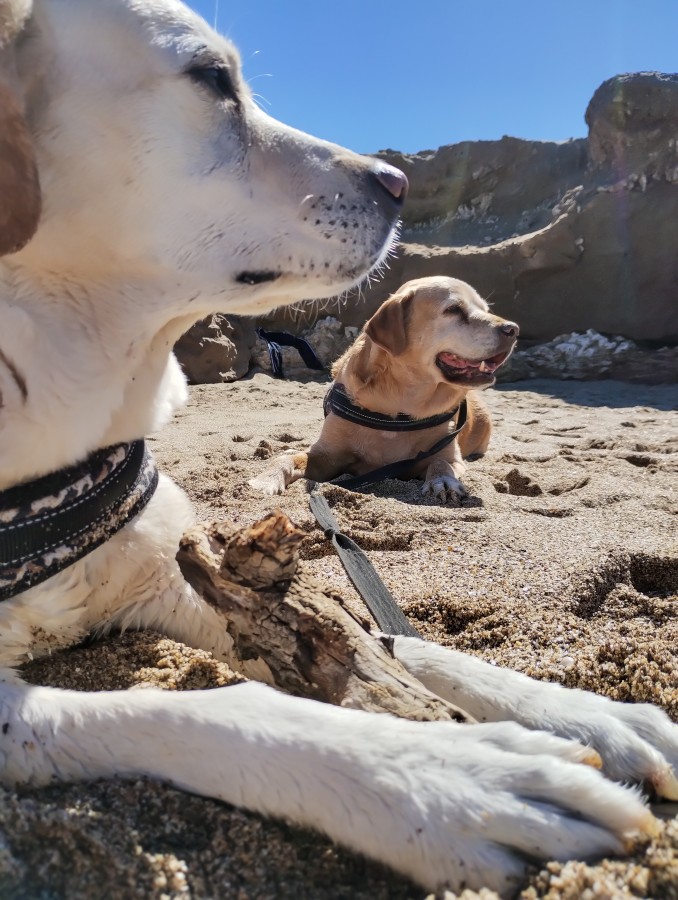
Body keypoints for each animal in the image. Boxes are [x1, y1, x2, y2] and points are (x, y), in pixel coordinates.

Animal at [0, 3, 676, 896]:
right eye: (210, 78)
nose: (400, 183)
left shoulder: (181, 581)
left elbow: (395, 640)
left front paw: (588, 713)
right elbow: (202, 706)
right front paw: (449, 775)